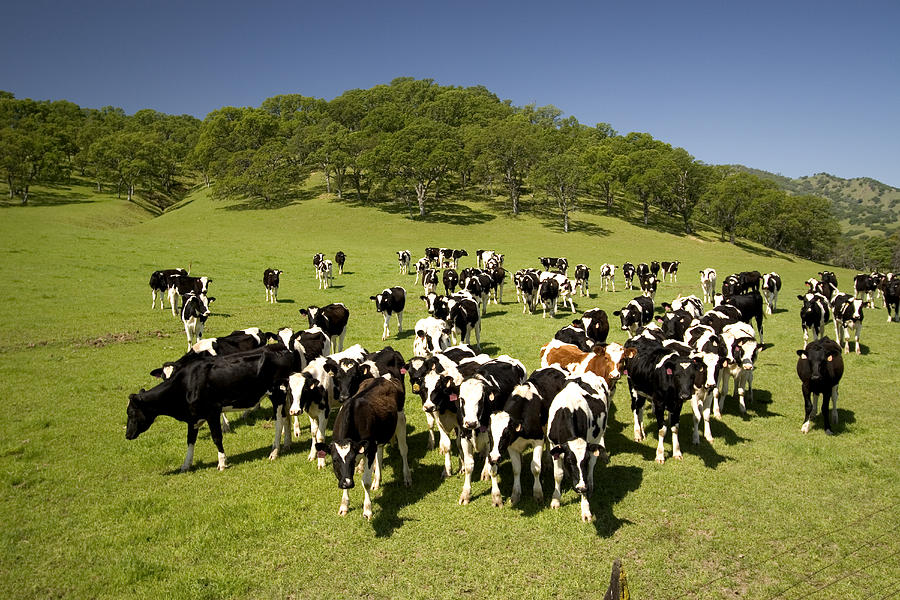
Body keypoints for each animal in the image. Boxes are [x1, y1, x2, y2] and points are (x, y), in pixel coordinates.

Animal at [125, 344, 296, 472]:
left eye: (131, 413)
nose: (127, 435)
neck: (186, 384)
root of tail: (279, 347)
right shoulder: (193, 417)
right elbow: (190, 440)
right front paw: (186, 465)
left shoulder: (212, 412)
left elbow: (216, 437)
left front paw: (222, 462)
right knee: (286, 417)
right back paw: (287, 444)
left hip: (277, 393)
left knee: (279, 422)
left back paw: (274, 451)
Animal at [316, 378, 412, 516]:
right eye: (335, 460)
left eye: (352, 459)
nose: (347, 483)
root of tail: (383, 379)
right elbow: (344, 475)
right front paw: (344, 505)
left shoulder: (370, 449)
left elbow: (365, 481)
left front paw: (367, 509)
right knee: (380, 454)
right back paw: (377, 481)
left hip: (400, 419)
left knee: (403, 450)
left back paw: (407, 477)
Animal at [458, 356, 528, 506]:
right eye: (462, 399)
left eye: (480, 400)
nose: (470, 423)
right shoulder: (464, 436)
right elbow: (469, 466)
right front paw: (465, 494)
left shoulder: (493, 440)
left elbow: (493, 467)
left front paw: (496, 496)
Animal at [488, 366, 568, 506]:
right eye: (489, 434)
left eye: (506, 433)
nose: (494, 457)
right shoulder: (512, 446)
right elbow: (516, 469)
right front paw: (515, 495)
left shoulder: (538, 440)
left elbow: (535, 468)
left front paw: (538, 494)